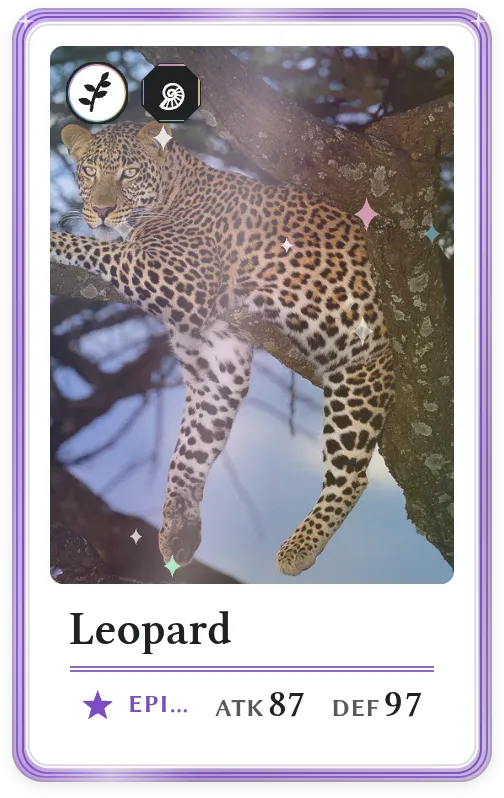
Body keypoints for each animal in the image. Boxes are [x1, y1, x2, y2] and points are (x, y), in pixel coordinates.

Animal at [50, 120, 395, 577]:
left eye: (128, 174)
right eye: (88, 171)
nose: (102, 211)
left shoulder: (179, 277)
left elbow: (101, 248)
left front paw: (48, 240)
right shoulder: (218, 360)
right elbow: (189, 449)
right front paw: (178, 527)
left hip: (360, 371)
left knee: (351, 475)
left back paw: (300, 545)